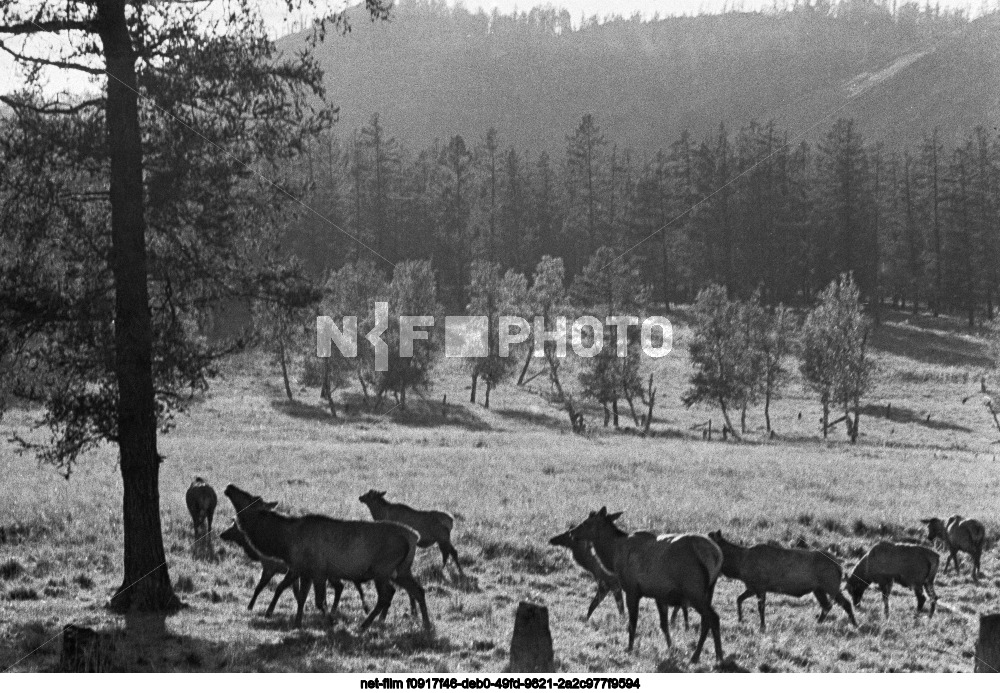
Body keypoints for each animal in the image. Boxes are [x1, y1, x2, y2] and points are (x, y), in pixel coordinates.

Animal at [221, 520, 370, 616]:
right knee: (342, 586)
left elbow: (262, 587)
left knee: (341, 586)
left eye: (233, 528)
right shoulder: (292, 571)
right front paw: (303, 608)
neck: (258, 552)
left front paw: (253, 607)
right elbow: (296, 592)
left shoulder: (270, 567)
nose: (221, 534)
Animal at [568, 506, 724, 664]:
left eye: (586, 523)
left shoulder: (632, 589)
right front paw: (671, 649)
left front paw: (629, 648)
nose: (572, 532)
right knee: (706, 620)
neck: (613, 556)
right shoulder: (660, 595)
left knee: (713, 617)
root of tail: (717, 555)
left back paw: (714, 657)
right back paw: (701, 656)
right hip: (708, 590)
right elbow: (664, 625)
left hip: (693, 589)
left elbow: (632, 623)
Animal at [708, 528, 856, 628]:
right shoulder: (752, 587)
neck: (739, 565)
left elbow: (761, 607)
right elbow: (739, 599)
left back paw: (854, 624)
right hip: (818, 589)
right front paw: (740, 619)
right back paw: (818, 622)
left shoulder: (760, 587)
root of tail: (839, 566)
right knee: (827, 605)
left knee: (844, 603)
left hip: (830, 585)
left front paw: (762, 626)